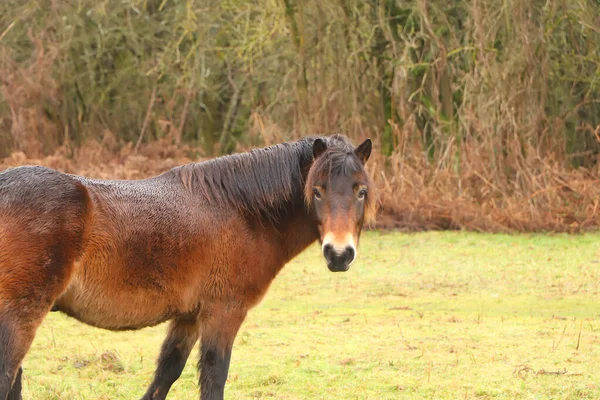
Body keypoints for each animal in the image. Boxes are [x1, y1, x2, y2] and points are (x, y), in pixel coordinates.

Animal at [0, 135, 376, 400]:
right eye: (317, 191)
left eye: (360, 191)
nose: (338, 254)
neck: (241, 211)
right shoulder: (223, 312)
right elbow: (213, 377)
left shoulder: (189, 316)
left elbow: (165, 375)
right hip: (21, 316)